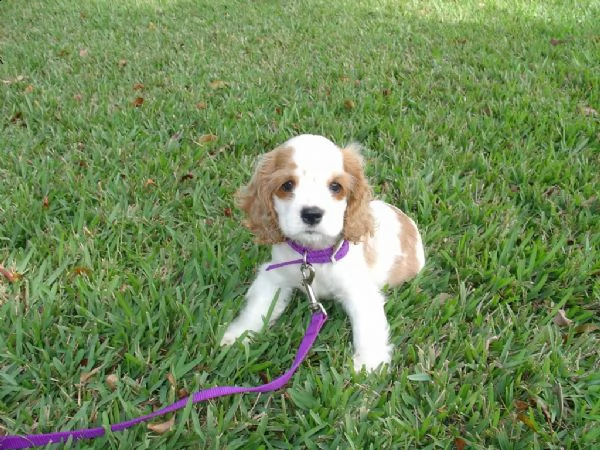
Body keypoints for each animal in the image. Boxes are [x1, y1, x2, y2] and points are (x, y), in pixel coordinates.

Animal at [221, 134, 426, 372]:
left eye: (336, 186)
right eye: (287, 185)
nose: (312, 214)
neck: (314, 254)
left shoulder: (360, 293)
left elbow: (367, 329)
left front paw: (367, 365)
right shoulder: (274, 277)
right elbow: (257, 308)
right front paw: (237, 337)